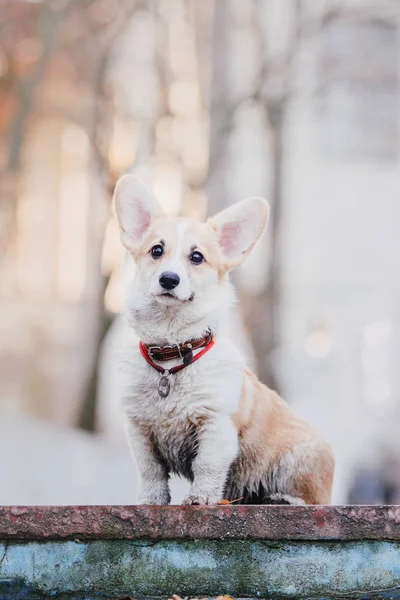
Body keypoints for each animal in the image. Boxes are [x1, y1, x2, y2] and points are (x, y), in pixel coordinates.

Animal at [113, 175, 334, 506]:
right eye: (156, 250)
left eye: (197, 257)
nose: (169, 279)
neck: (172, 354)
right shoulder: (139, 429)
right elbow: (150, 471)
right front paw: (151, 501)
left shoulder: (215, 427)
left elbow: (207, 467)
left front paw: (200, 498)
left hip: (298, 460)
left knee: (309, 498)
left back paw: (280, 498)